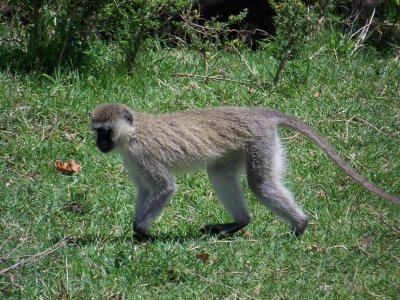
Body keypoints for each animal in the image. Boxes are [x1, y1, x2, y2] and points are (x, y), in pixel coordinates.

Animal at [91, 104, 400, 240]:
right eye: (97, 132)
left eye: (104, 131)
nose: (99, 144)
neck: (131, 134)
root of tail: (259, 113)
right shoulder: (133, 162)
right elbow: (145, 190)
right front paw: (136, 233)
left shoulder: (143, 154)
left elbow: (164, 188)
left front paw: (142, 231)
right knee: (220, 174)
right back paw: (239, 222)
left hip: (260, 143)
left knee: (260, 184)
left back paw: (300, 225)